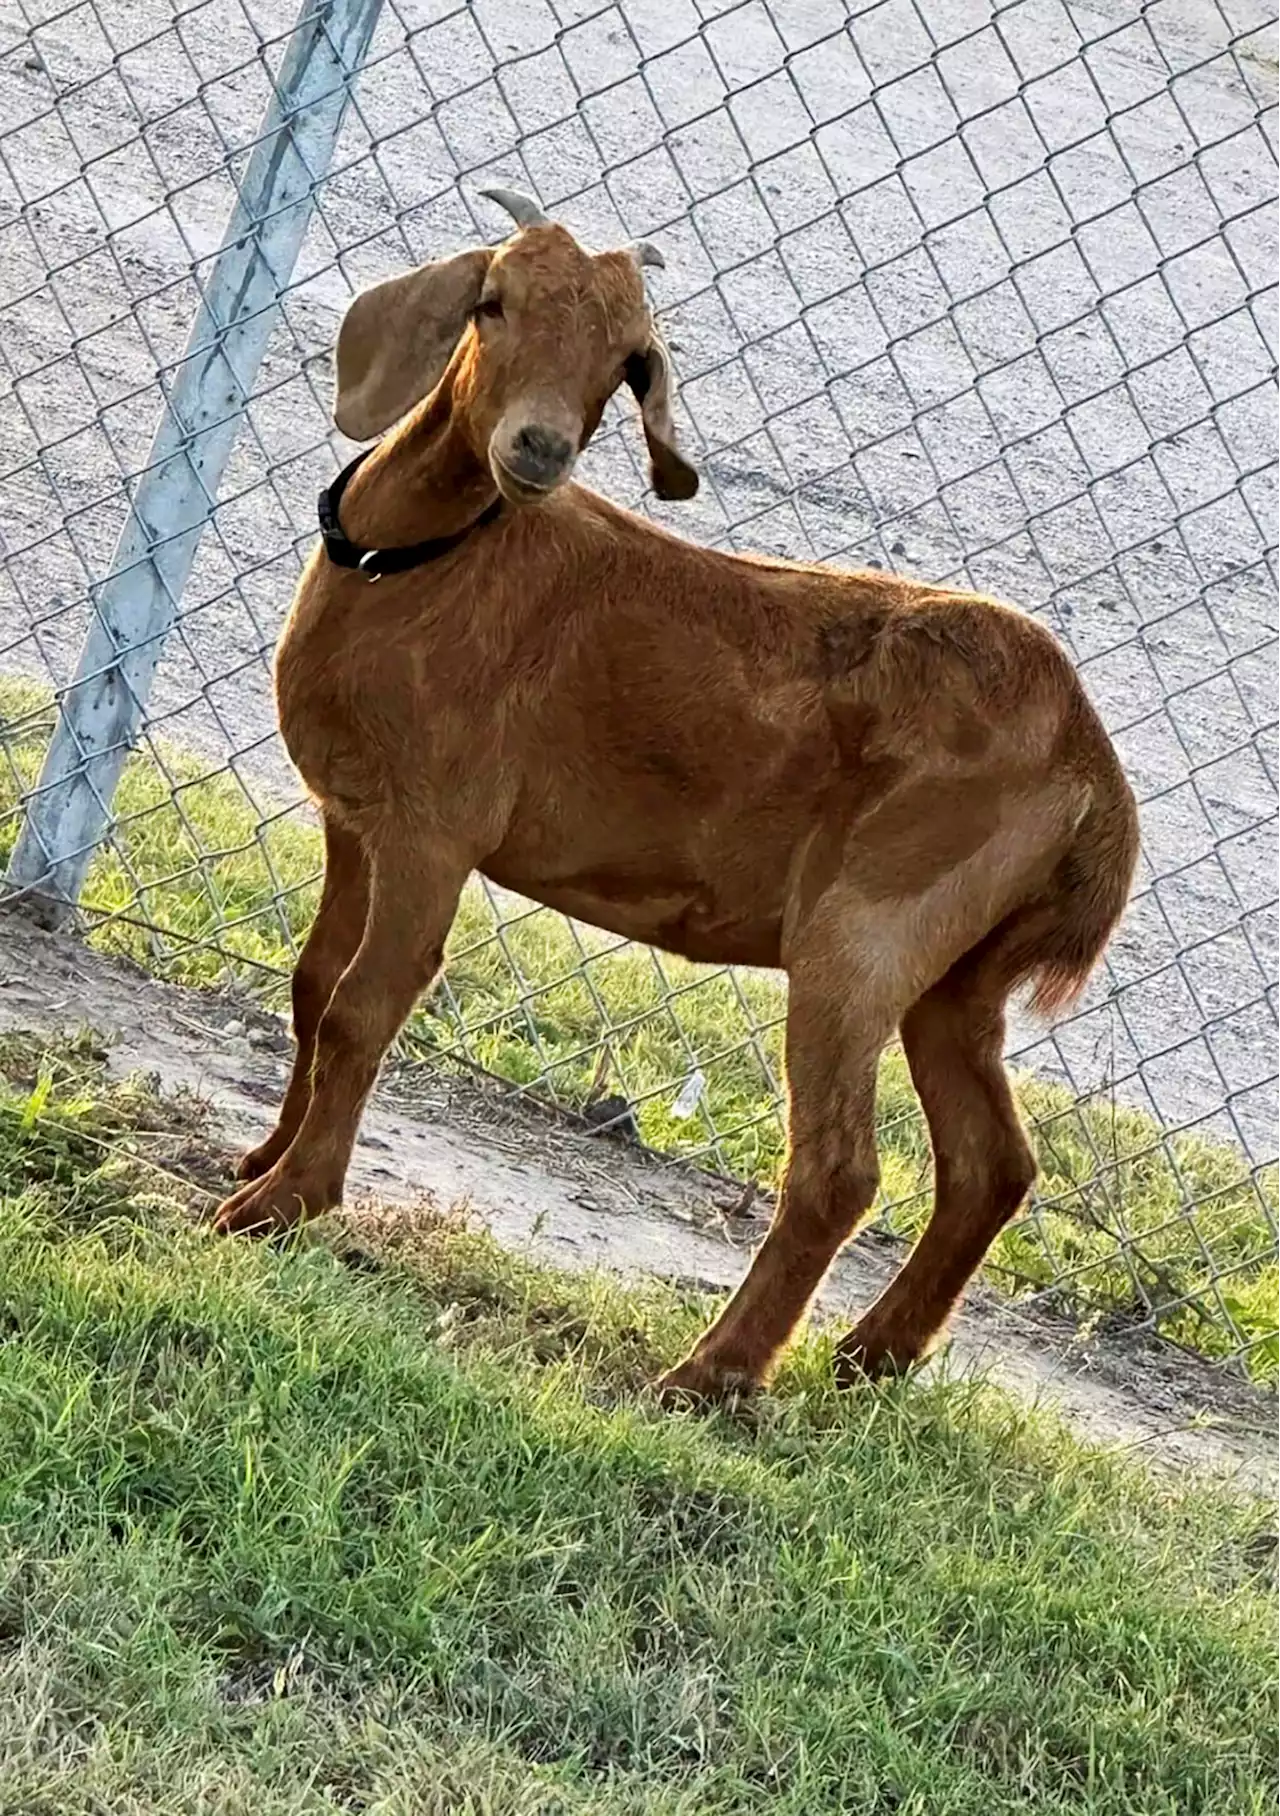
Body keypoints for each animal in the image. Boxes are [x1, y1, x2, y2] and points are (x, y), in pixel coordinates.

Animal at [212, 191, 1140, 1394]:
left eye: (627, 362)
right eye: (492, 300)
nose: (540, 449)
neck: (428, 562)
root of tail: (1089, 764)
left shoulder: (432, 830)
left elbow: (366, 1004)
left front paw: (283, 1205)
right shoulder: (352, 819)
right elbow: (314, 983)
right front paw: (261, 1157)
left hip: (863, 932)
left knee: (840, 1168)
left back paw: (712, 1376)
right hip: (957, 975)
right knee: (991, 1163)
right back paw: (868, 1358)